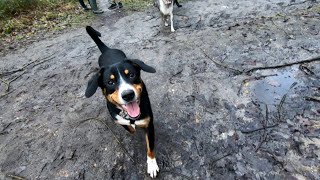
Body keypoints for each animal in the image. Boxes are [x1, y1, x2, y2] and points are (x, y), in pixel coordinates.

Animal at [84, 26, 159, 178]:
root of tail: (107, 50)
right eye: (110, 82)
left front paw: (152, 164)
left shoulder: (149, 124)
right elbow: (128, 127)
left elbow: (150, 148)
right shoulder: (118, 120)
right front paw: (132, 128)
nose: (128, 94)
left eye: (131, 75)